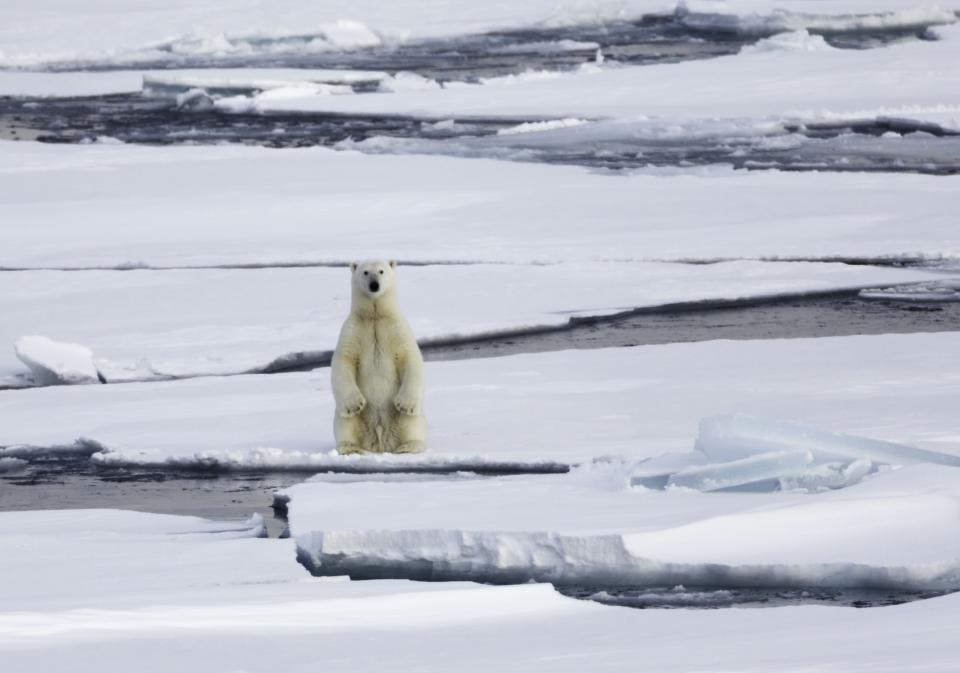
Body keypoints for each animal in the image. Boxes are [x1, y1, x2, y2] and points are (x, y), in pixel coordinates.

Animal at [332, 260, 426, 454]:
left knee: (412, 421)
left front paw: (404, 404)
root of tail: (380, 443)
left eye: (381, 271)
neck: (375, 316)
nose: (374, 285)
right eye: (366, 272)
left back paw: (409, 445)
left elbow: (410, 358)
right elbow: (344, 360)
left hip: (404, 418)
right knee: (344, 420)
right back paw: (350, 447)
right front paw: (356, 404)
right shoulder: (352, 331)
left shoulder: (397, 328)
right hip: (349, 417)